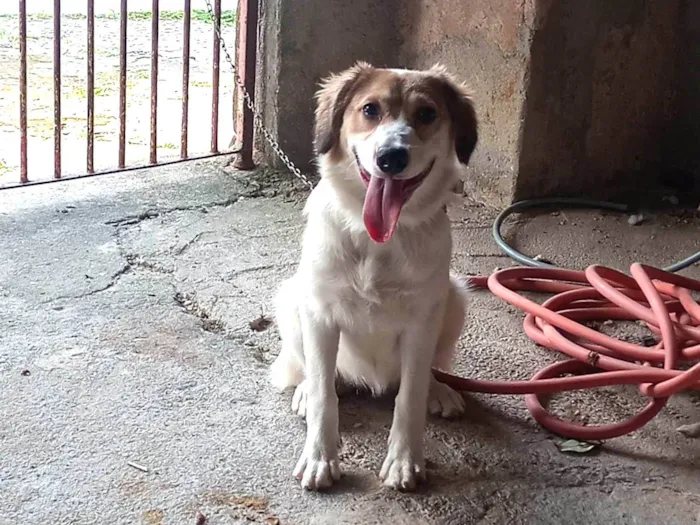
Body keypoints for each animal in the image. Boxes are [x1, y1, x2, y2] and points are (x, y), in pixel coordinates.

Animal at [270, 62, 478, 492]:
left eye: (427, 113)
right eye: (370, 110)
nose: (390, 157)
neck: (378, 240)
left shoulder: (422, 320)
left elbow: (409, 397)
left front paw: (404, 461)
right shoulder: (319, 312)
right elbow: (324, 397)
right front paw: (320, 458)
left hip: (455, 297)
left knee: (417, 376)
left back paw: (438, 390)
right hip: (291, 296)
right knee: (316, 373)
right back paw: (308, 389)